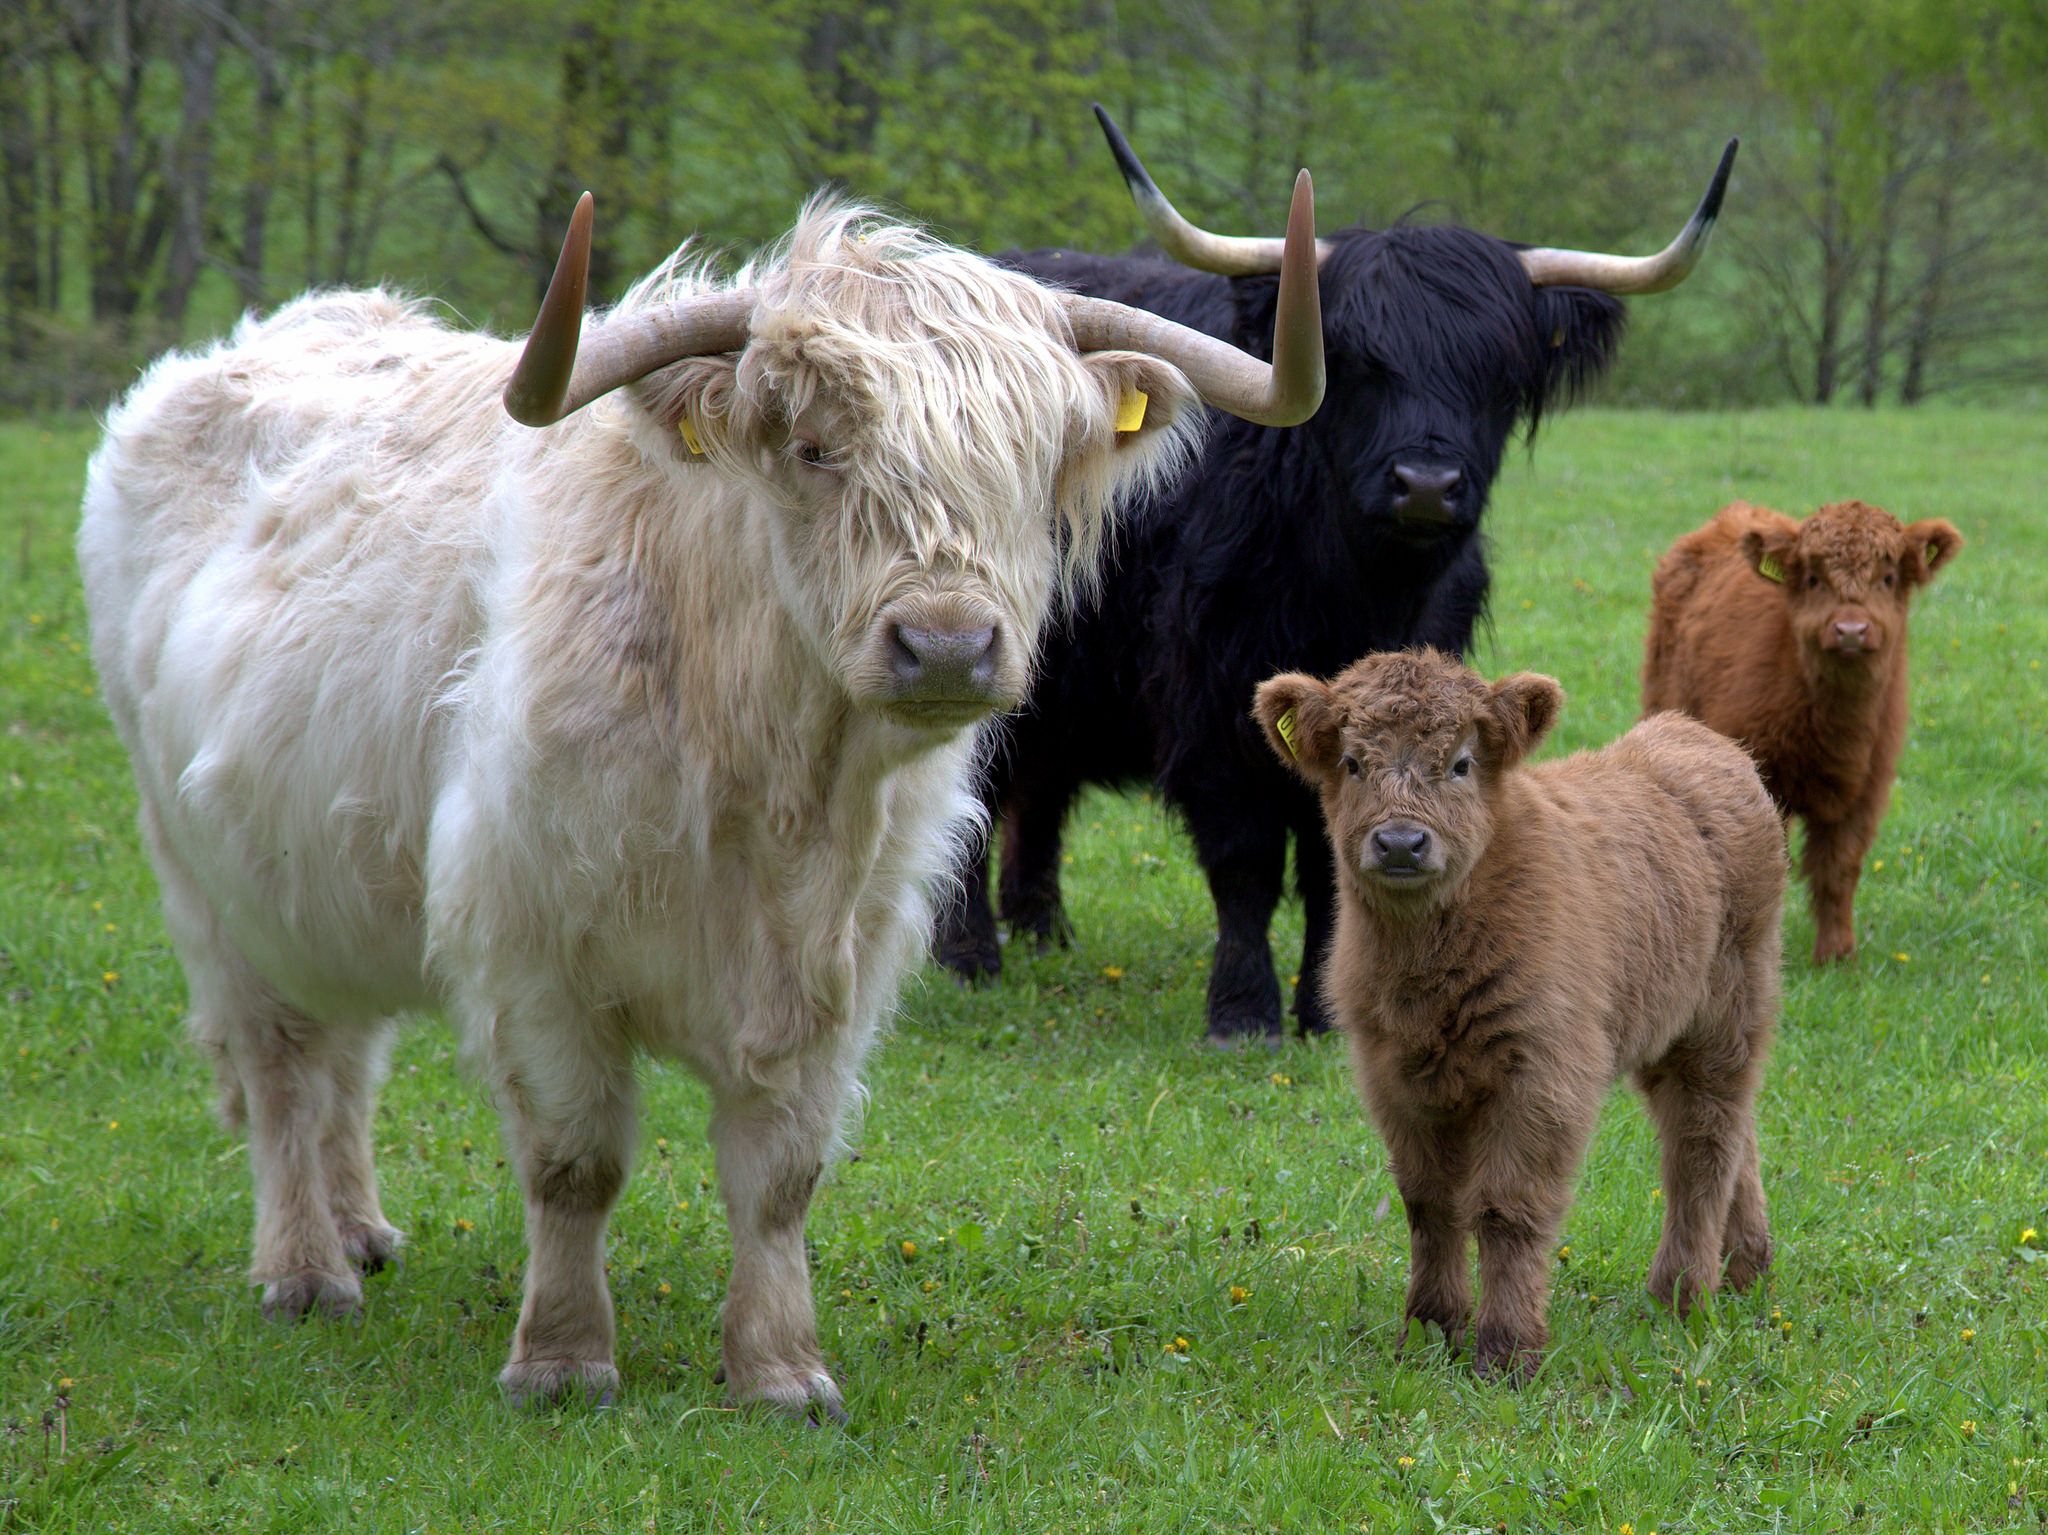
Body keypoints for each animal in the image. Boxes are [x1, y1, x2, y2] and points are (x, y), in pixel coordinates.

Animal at [76, 182, 1324, 1417]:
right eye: (815, 448)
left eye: (1027, 467)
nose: (945, 644)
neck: (770, 786)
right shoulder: (535, 948)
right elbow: (575, 1162)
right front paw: (563, 1359)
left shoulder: (839, 966)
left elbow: (780, 1174)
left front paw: (778, 1369)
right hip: (204, 878)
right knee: (282, 1065)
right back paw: (305, 1269)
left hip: (324, 872)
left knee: (345, 1053)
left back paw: (361, 1228)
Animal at [935, 108, 1738, 1043]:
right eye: (1352, 360)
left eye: (1501, 372)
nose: (1425, 484)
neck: (1351, 588)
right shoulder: (1214, 704)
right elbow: (1244, 856)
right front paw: (1243, 1012)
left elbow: (1333, 852)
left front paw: (1325, 1008)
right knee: (976, 791)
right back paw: (970, 956)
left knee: (1038, 786)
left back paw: (1042, 927)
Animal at [1253, 649, 1783, 1380]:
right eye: (1353, 762)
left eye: (1461, 763)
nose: (1400, 843)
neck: (1429, 973)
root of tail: (1699, 738)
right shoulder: (1393, 1075)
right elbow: (1429, 1203)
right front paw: (1429, 1332)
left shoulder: (1543, 1075)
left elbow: (1509, 1209)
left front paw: (1505, 1352)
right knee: (1737, 1129)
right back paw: (1745, 1266)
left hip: (1725, 1011)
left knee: (1701, 1142)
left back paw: (1681, 1295)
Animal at [1642, 499, 1963, 964]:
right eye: (1813, 578)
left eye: (1888, 578)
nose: (1851, 631)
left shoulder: (1867, 791)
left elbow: (1839, 869)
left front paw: (1837, 955)